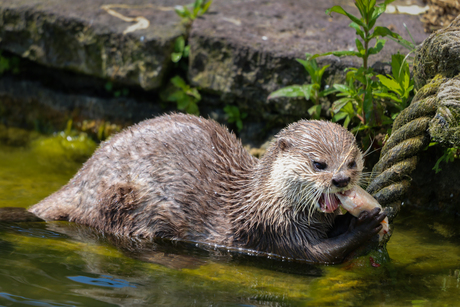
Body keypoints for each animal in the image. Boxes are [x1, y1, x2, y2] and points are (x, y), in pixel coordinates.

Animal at [28, 113, 384, 264]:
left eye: (352, 162)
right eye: (318, 164)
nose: (341, 180)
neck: (264, 198)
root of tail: (80, 180)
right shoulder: (271, 229)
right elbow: (318, 255)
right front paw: (368, 224)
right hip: (120, 197)